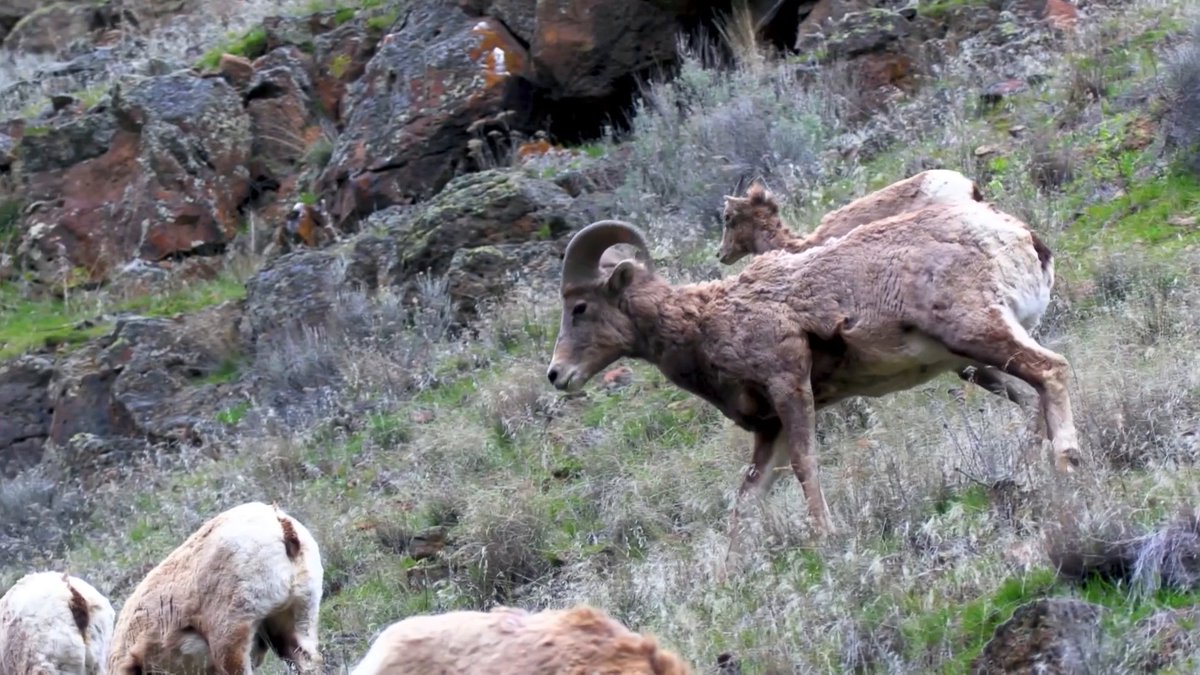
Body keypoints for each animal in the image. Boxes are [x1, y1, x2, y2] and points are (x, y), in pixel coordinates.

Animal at [546, 203, 1079, 538]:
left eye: (579, 308)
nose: (556, 375)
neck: (706, 322)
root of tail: (1019, 236)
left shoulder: (789, 389)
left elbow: (806, 465)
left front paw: (825, 536)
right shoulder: (769, 429)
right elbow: (745, 504)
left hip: (979, 335)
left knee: (1051, 371)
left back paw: (1067, 464)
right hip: (981, 356)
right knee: (1033, 396)